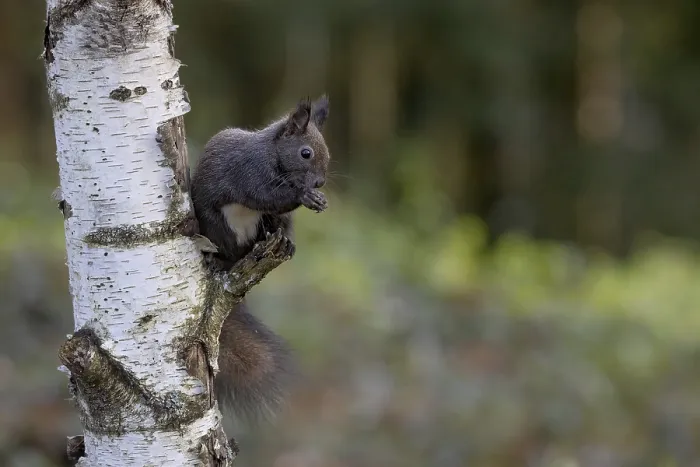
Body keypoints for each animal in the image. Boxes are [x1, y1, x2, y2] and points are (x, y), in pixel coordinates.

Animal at [190, 95, 330, 422]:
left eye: (327, 152)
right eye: (305, 153)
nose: (319, 183)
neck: (272, 154)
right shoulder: (249, 172)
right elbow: (263, 196)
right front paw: (305, 197)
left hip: (267, 225)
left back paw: (284, 243)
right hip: (217, 227)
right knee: (228, 251)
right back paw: (220, 261)